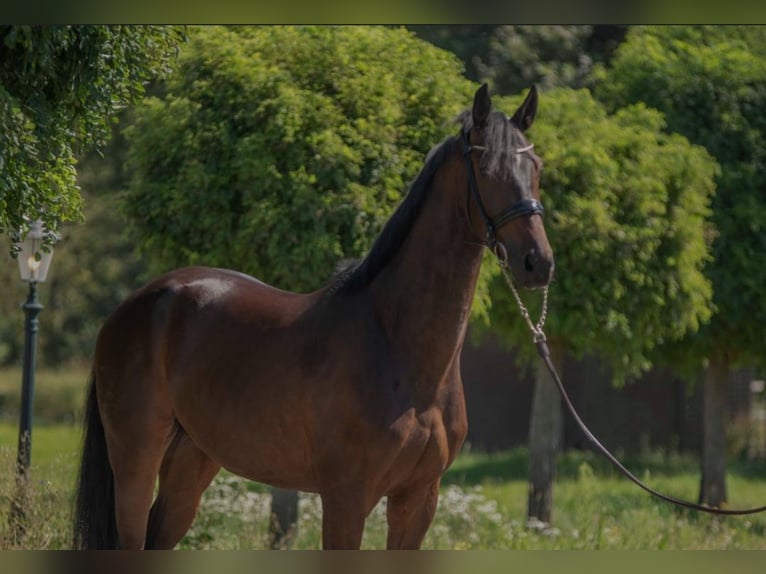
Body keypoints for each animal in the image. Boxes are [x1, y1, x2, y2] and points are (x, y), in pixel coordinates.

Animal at [72, 83, 556, 552]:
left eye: (536, 167)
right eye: (488, 169)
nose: (538, 263)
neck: (397, 348)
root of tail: (133, 308)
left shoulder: (418, 499)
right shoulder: (346, 497)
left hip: (192, 461)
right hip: (135, 459)